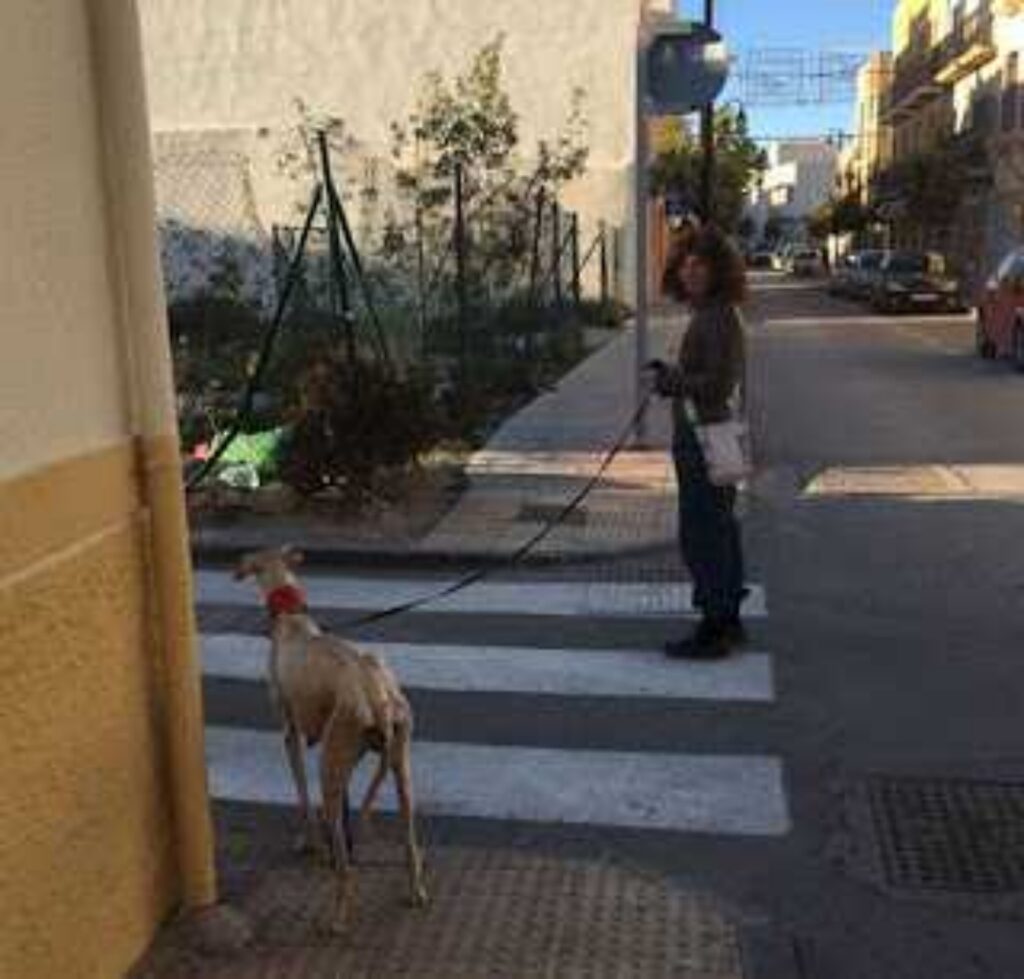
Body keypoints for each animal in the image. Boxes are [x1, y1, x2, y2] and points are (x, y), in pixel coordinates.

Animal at [235, 548, 428, 929]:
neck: (292, 622)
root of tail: (378, 695)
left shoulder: (290, 734)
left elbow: (301, 794)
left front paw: (310, 842)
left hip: (331, 764)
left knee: (344, 865)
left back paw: (338, 915)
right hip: (398, 765)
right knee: (409, 841)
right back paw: (415, 890)